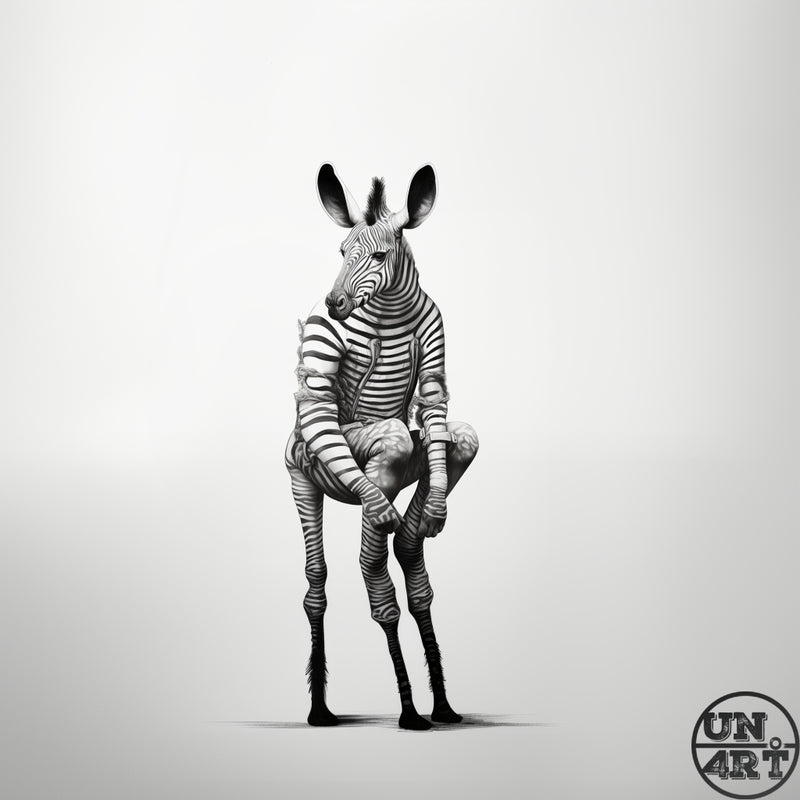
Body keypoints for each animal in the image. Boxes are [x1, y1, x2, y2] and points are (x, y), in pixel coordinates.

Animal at [284, 163, 479, 730]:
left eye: (377, 256)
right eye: (340, 251)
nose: (334, 304)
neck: (391, 312)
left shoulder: (435, 345)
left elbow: (435, 403)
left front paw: (439, 702)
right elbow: (318, 398)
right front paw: (410, 708)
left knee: (409, 554)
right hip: (313, 473)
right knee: (332, 581)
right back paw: (329, 709)